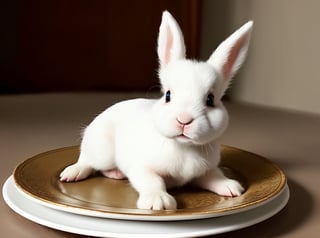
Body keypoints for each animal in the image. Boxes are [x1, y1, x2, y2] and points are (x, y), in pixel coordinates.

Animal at [60, 11, 252, 210]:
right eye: (167, 95)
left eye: (210, 99)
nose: (184, 120)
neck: (184, 147)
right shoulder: (142, 168)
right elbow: (153, 181)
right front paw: (158, 201)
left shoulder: (205, 171)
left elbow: (215, 176)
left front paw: (231, 187)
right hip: (101, 152)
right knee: (87, 161)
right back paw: (73, 173)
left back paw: (115, 174)